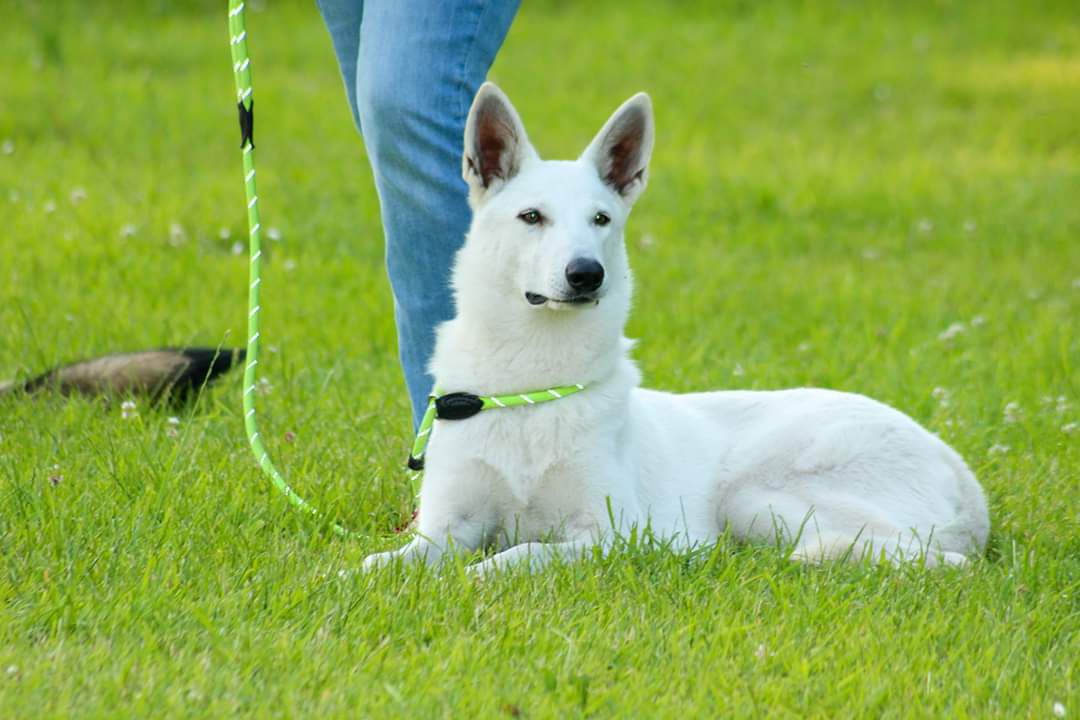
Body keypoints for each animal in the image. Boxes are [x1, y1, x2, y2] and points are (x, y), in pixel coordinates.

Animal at [362, 83, 989, 574]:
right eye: (531, 217)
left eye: (601, 219)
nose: (587, 274)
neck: (532, 383)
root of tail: (964, 479)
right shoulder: (445, 529)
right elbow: (382, 562)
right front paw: (353, 579)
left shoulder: (610, 535)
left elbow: (520, 554)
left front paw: (478, 576)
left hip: (753, 494)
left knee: (938, 559)